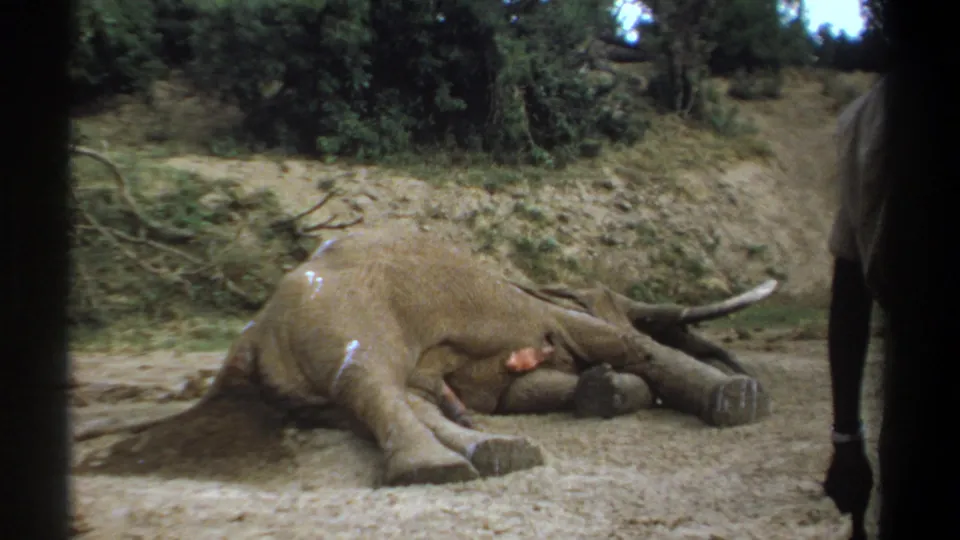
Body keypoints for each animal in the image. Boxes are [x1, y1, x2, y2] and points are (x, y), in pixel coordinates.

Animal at [74, 228, 777, 487]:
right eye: (601, 296)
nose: (742, 370)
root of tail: (246, 342)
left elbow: (530, 388)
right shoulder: (535, 312)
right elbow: (619, 342)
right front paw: (739, 400)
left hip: (304, 383)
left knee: (374, 401)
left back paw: (494, 453)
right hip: (347, 317)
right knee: (371, 383)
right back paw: (438, 469)